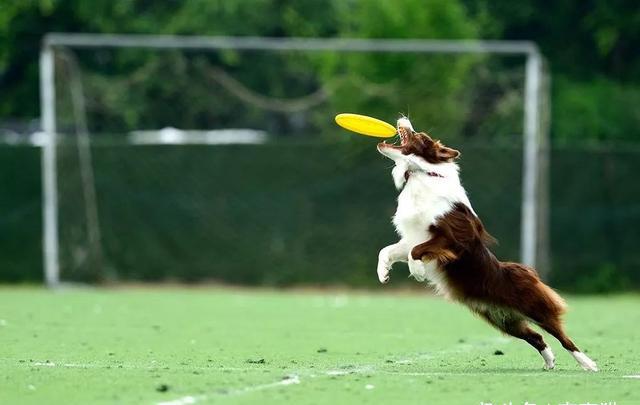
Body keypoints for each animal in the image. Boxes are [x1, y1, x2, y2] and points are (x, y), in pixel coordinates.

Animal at [378, 116, 596, 370]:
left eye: (420, 136)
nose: (402, 118)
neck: (423, 174)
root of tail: (526, 272)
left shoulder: (455, 239)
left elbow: (416, 251)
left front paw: (418, 272)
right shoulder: (414, 236)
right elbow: (388, 251)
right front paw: (383, 273)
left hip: (535, 308)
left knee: (563, 337)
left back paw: (588, 364)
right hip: (503, 320)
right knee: (536, 336)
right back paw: (550, 361)